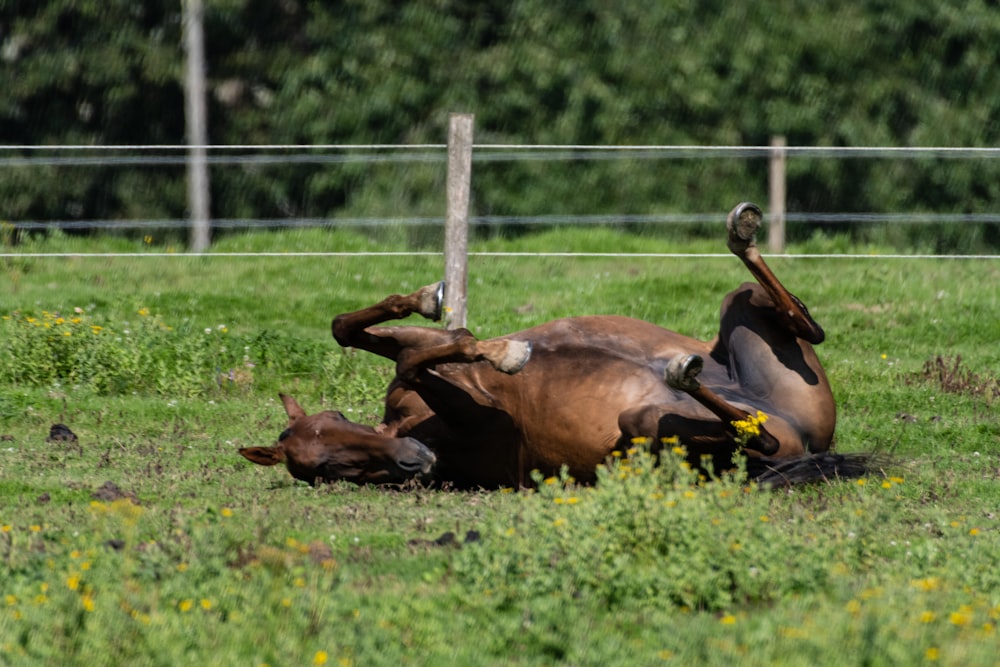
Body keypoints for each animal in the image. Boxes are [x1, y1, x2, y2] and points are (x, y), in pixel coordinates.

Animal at [244, 201, 876, 488]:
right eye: (329, 469)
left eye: (335, 417)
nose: (414, 461)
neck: (410, 427)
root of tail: (809, 444)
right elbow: (416, 352)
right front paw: (502, 352)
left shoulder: (423, 363)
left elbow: (368, 334)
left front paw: (443, 309)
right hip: (649, 422)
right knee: (757, 436)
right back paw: (687, 373)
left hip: (746, 313)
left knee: (794, 319)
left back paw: (740, 235)